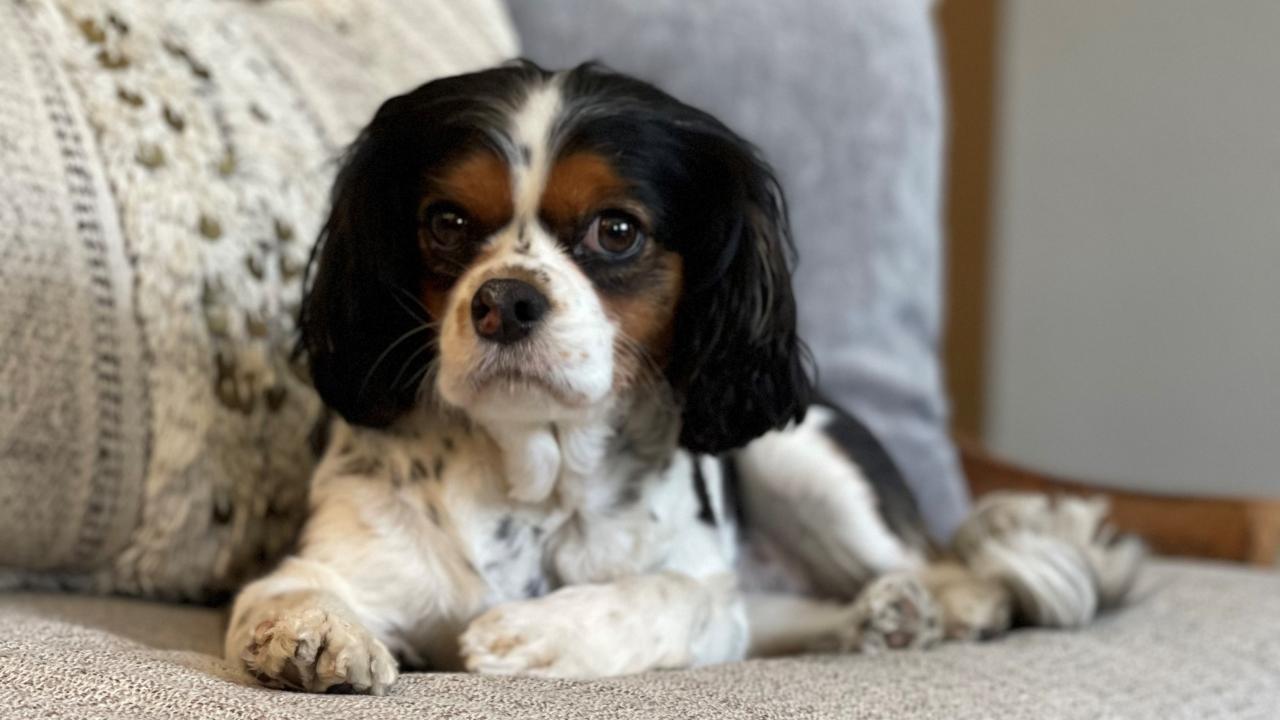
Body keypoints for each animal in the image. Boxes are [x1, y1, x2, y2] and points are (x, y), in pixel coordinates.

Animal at [222, 61, 1141, 691]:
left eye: (617, 230)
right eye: (445, 222)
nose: (505, 300)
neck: (538, 478)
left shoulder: (706, 594)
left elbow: (663, 594)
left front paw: (536, 633)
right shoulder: (341, 560)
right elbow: (288, 595)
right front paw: (316, 637)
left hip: (803, 461)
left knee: (957, 568)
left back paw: (936, 606)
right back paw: (877, 621)